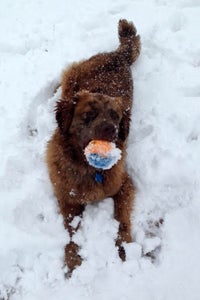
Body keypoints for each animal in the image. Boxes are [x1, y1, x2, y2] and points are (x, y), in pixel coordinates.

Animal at [46, 19, 141, 274]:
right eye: (89, 114)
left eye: (116, 116)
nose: (112, 129)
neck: (89, 169)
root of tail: (117, 55)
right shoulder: (67, 197)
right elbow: (71, 232)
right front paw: (72, 259)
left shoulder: (123, 184)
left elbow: (121, 218)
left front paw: (123, 246)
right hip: (72, 76)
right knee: (63, 82)